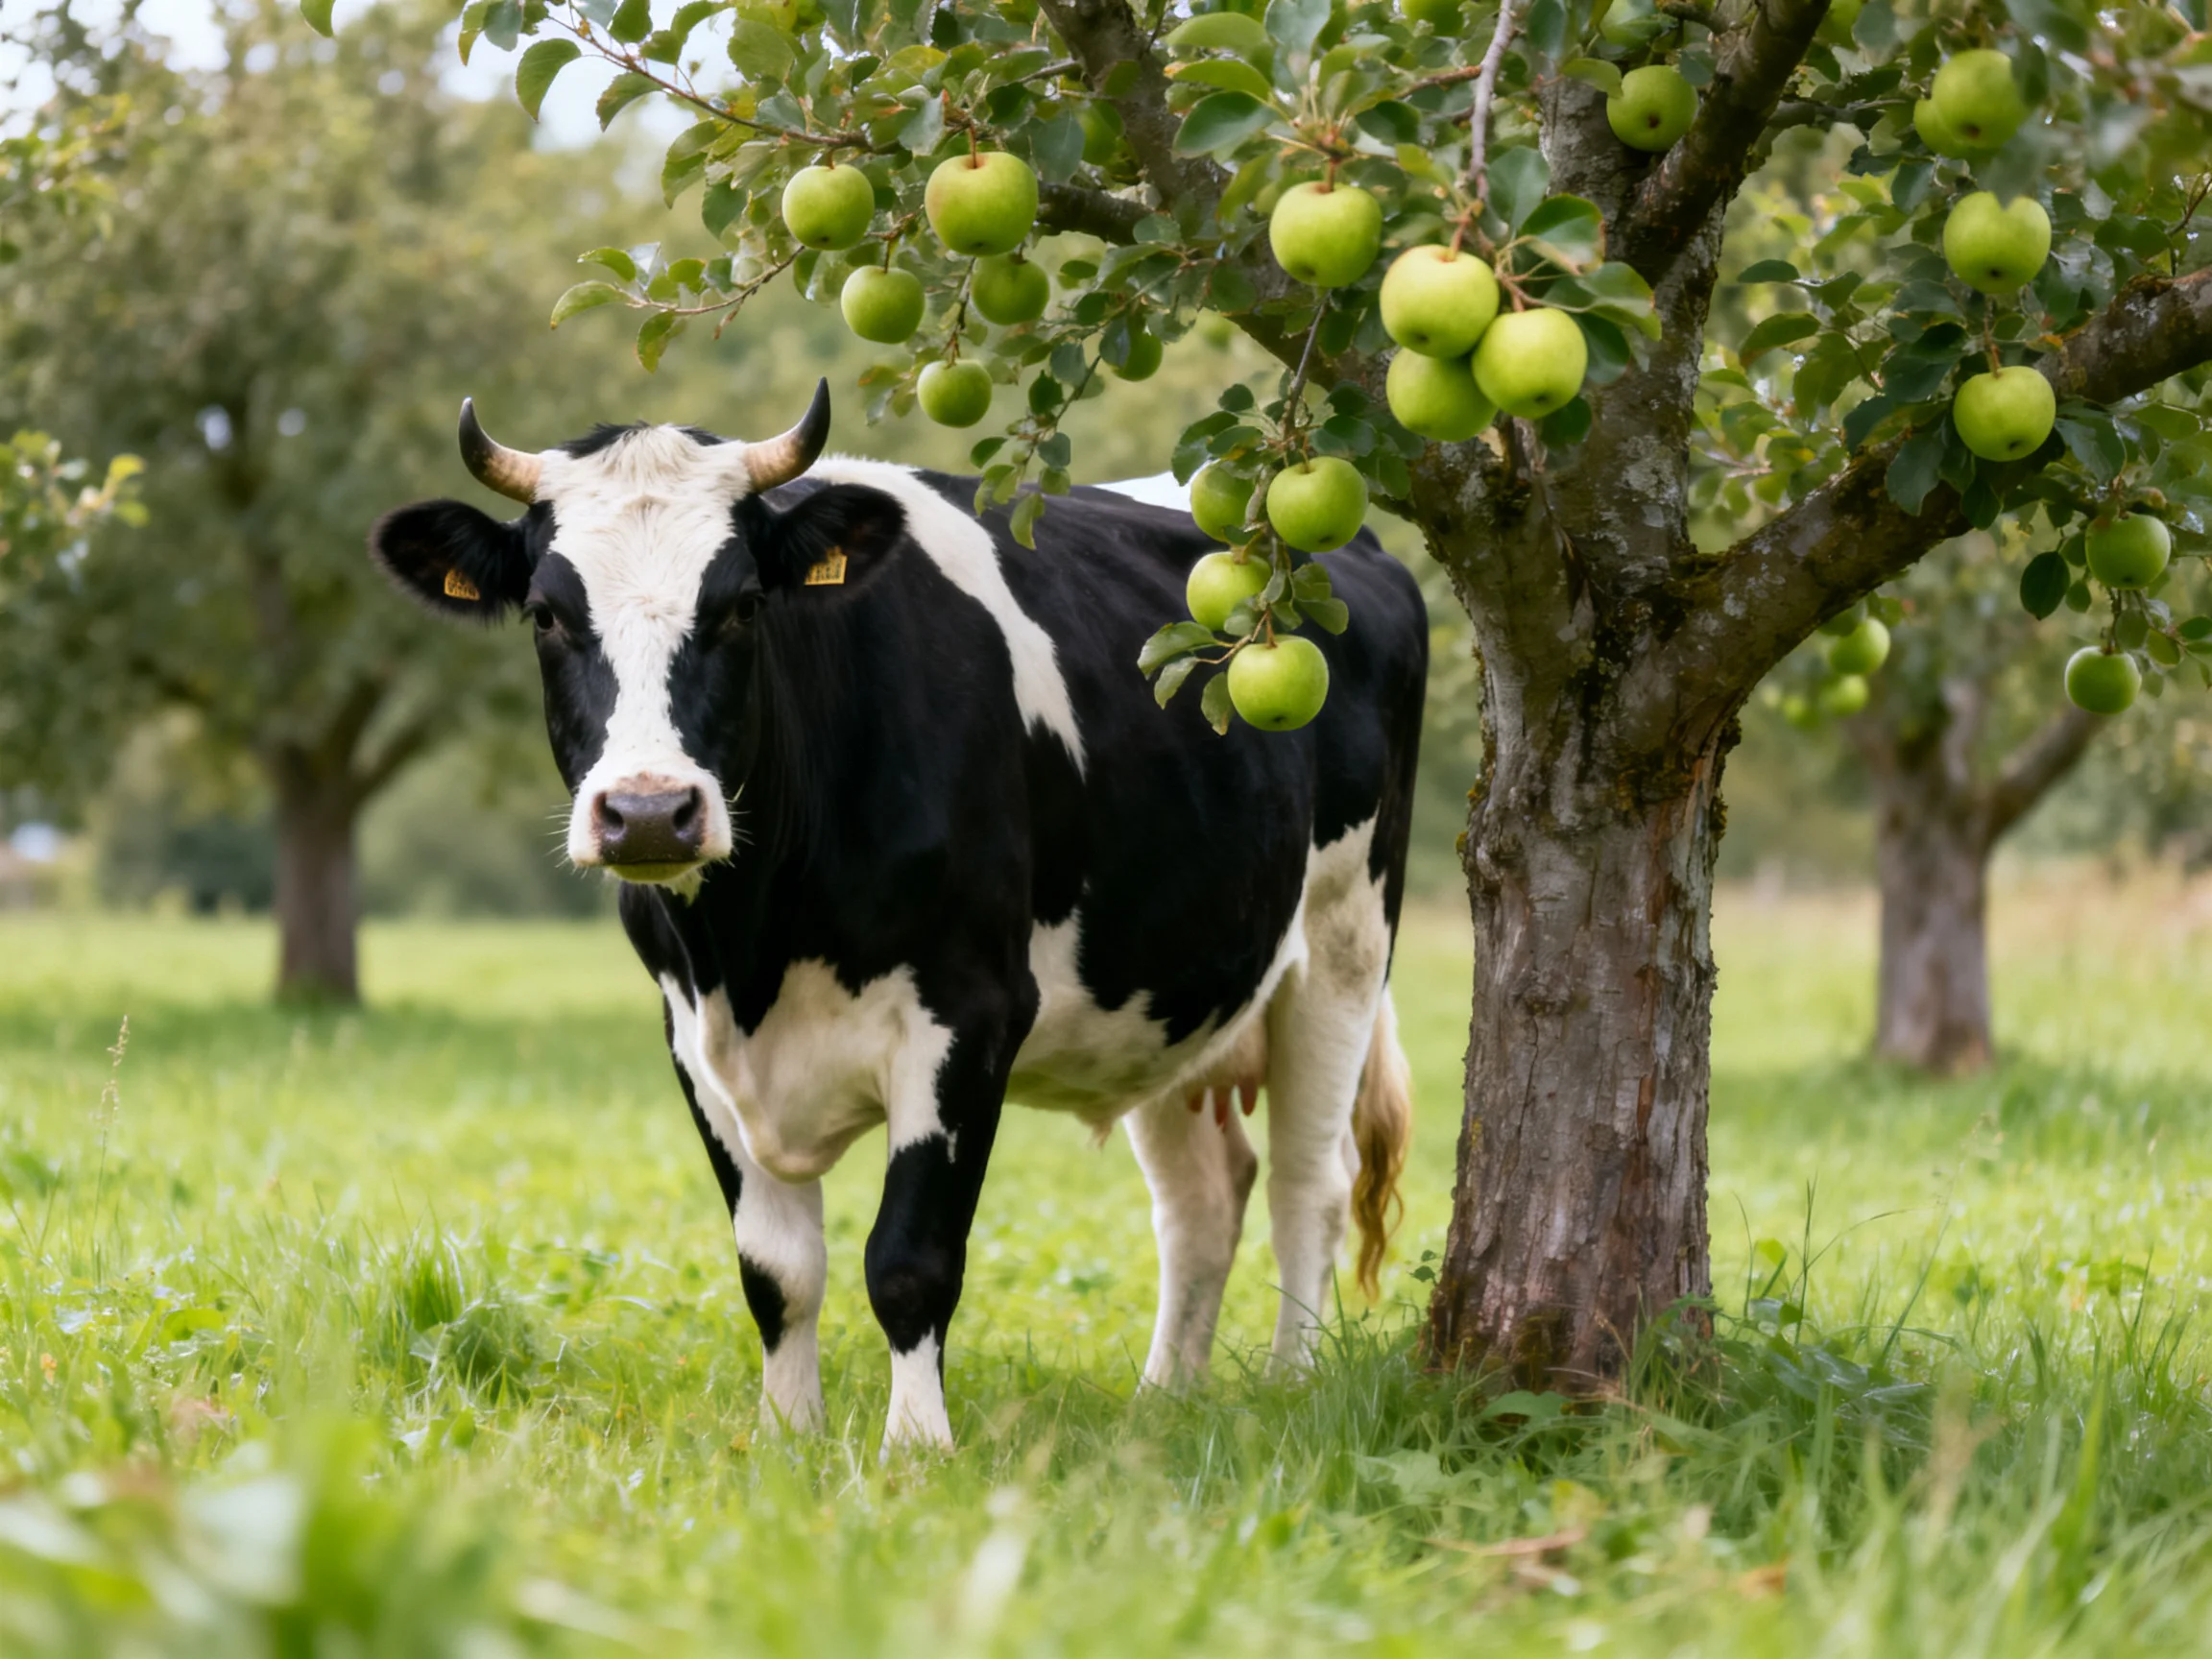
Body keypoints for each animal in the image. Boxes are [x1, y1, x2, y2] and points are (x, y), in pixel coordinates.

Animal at [367, 382, 1426, 1452]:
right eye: (547, 614)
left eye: (743, 606)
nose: (650, 811)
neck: (754, 949)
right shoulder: (693, 1037)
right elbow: (777, 1272)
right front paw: (788, 1439)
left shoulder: (970, 1011)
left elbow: (910, 1260)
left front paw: (916, 1449)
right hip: (1166, 995)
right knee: (1204, 1198)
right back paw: (1161, 1403)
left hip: (1343, 944)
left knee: (1309, 1183)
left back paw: (1291, 1386)